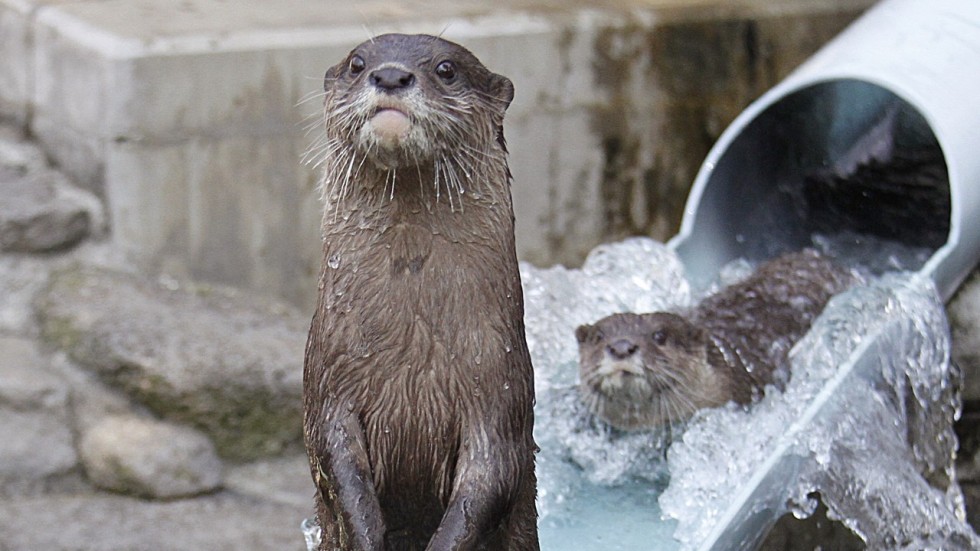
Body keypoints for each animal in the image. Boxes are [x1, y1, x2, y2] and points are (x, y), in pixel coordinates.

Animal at [302, 34, 538, 550]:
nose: (390, 75)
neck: (412, 353)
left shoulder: (500, 395)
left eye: (446, 69)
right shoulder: (328, 382)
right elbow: (335, 464)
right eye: (357, 63)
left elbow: (491, 478)